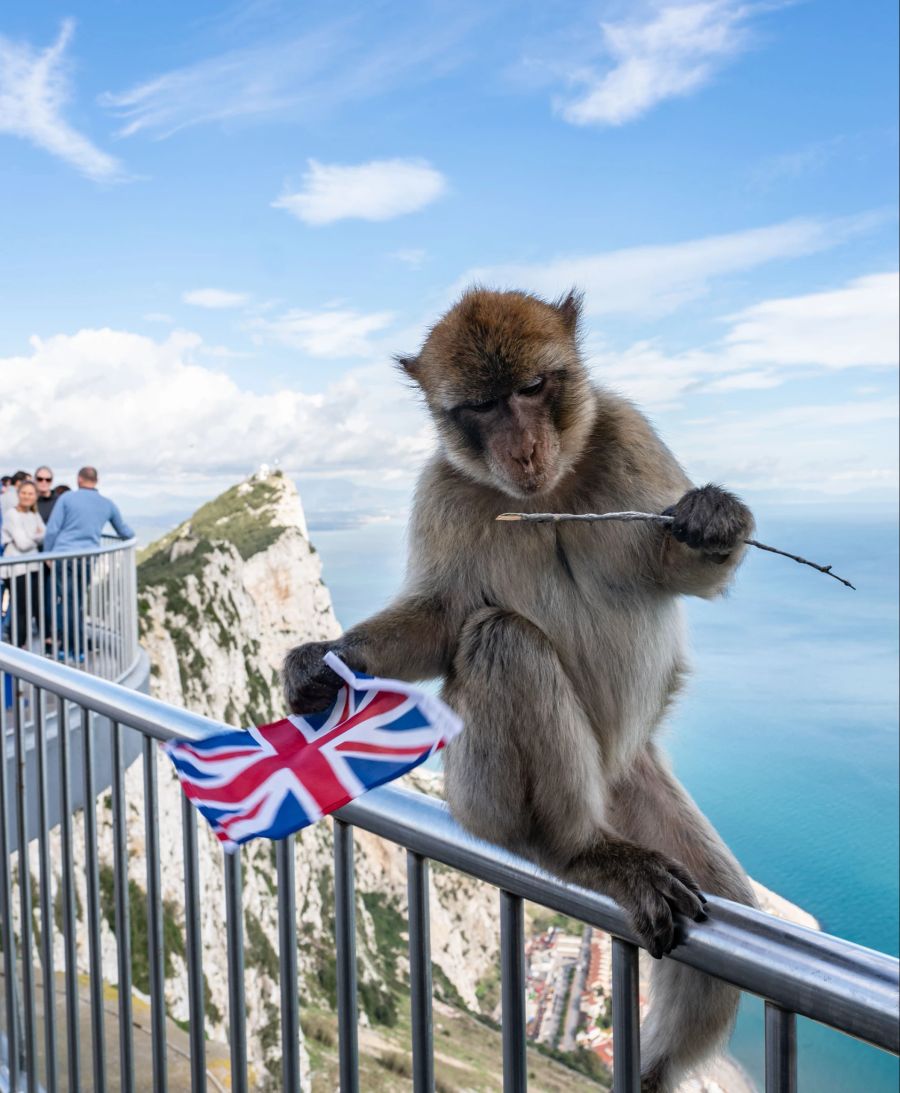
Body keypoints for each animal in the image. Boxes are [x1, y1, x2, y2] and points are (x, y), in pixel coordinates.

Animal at [284, 286, 761, 1088]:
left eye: (533, 388)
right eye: (482, 405)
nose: (525, 448)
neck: (554, 487)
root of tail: (605, 778)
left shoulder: (627, 432)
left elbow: (677, 570)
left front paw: (715, 519)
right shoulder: (441, 490)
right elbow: (446, 619)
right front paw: (321, 662)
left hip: (631, 782)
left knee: (722, 895)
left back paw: (655, 1068)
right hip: (480, 793)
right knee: (502, 641)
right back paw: (581, 851)